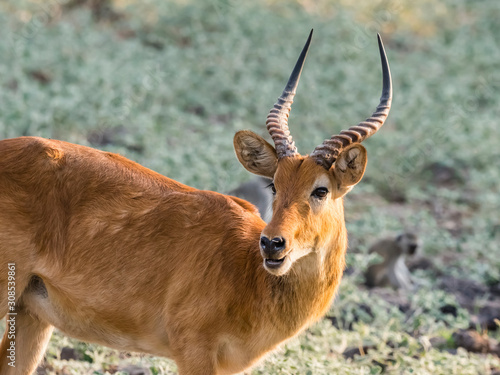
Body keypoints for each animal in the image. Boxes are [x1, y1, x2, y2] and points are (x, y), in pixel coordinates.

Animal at [0, 31, 390, 375]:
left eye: (320, 190)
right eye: (274, 185)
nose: (272, 244)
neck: (247, 270)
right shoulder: (193, 350)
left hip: (31, 315)